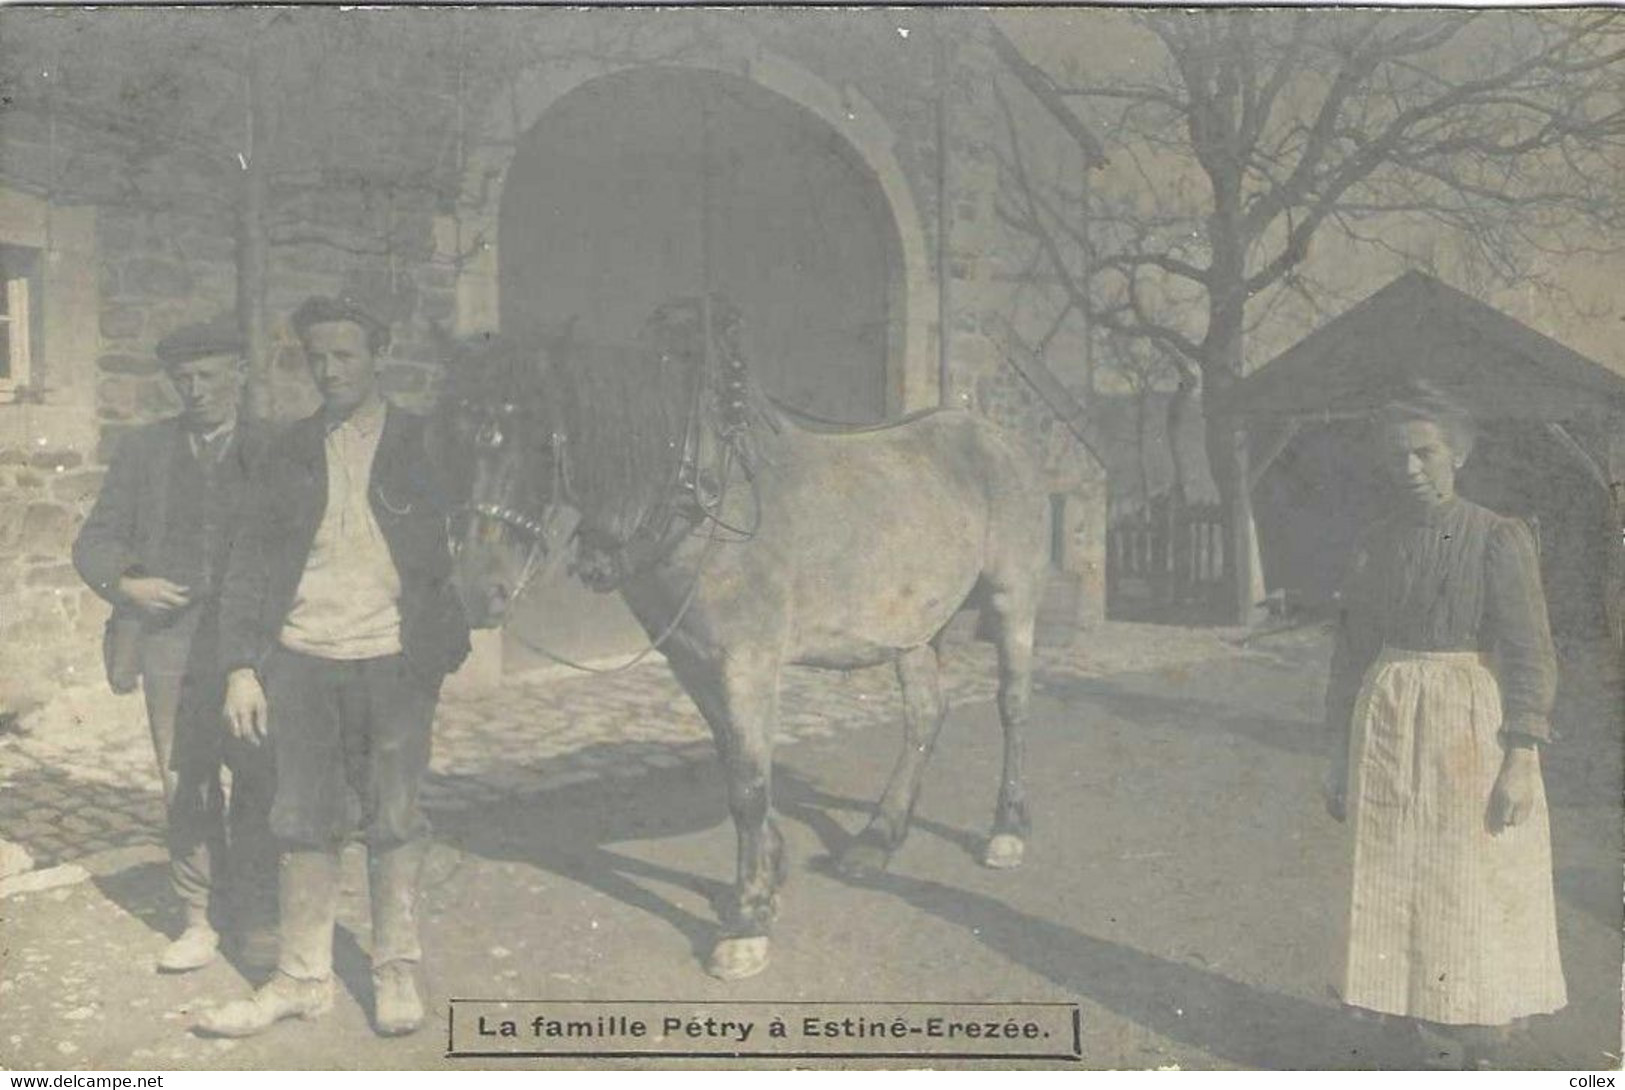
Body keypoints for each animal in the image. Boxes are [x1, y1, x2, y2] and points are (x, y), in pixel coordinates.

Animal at [435, 298, 1040, 981]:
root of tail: (993, 436)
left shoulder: (746, 663)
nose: (477, 587)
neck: (695, 497)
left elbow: (749, 784)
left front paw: (749, 921)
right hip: (911, 628)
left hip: (1012, 600)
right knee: (924, 718)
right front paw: (767, 879)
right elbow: (736, 765)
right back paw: (876, 840)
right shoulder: (693, 661)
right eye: (451, 434)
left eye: (543, 439)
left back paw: (1005, 830)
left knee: (1012, 707)